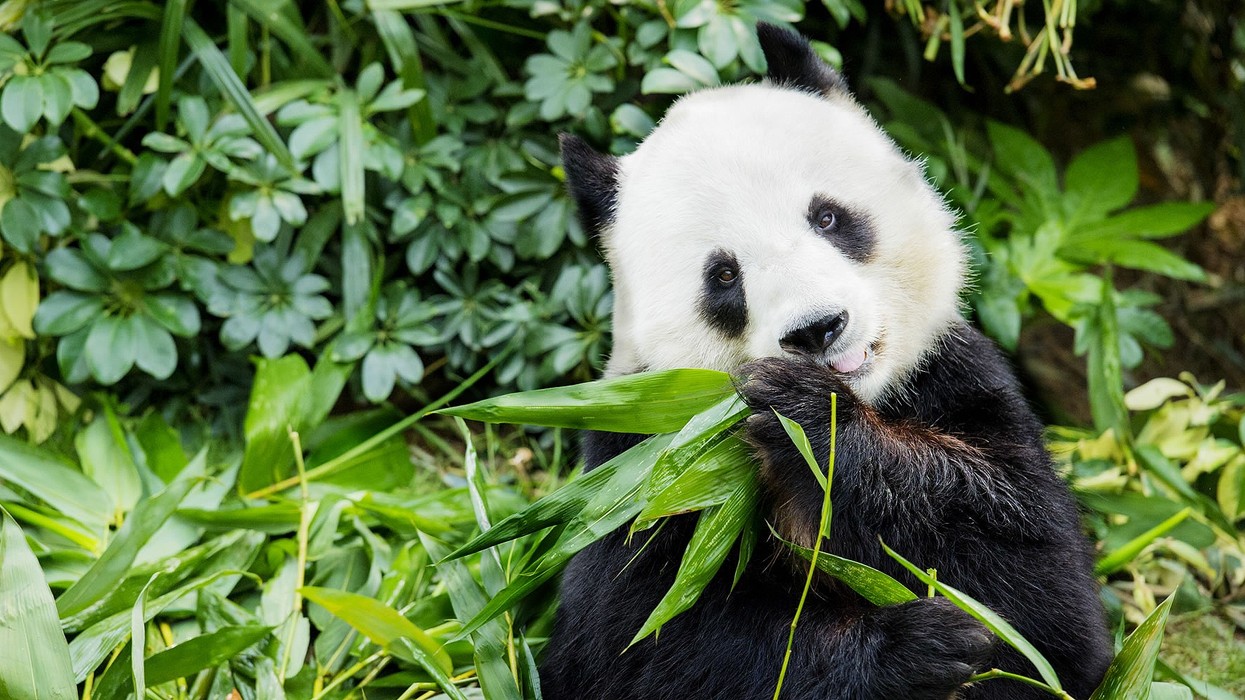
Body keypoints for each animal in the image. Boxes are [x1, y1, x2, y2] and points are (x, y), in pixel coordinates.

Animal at [540, 23, 1112, 700]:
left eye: (828, 217)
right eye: (724, 275)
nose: (817, 329)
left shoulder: (956, 381)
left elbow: (1041, 603)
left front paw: (809, 419)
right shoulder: (641, 462)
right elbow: (636, 641)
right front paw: (914, 649)